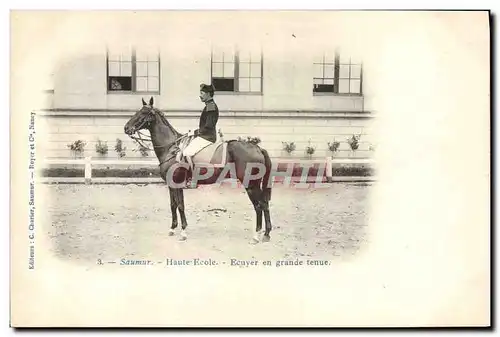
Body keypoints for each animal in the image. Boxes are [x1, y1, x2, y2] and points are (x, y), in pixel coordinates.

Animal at [125, 96, 274, 242]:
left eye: (144, 113)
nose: (126, 128)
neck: (171, 148)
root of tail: (257, 148)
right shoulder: (171, 185)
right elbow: (173, 205)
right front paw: (173, 228)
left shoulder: (176, 184)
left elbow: (180, 205)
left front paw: (183, 232)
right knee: (265, 204)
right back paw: (266, 234)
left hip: (251, 185)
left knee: (259, 206)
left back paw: (256, 235)